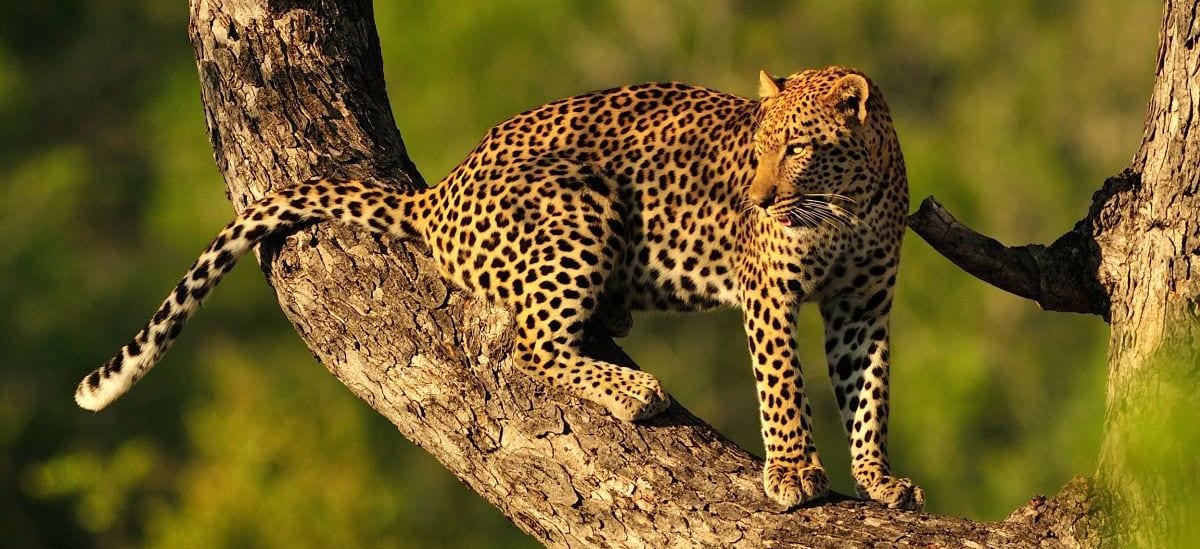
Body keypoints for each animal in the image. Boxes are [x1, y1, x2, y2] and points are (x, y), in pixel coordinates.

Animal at [75, 65, 923, 511]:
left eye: (800, 147)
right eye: (758, 147)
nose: (758, 197)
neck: (848, 201)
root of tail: (440, 193)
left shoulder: (865, 305)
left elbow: (870, 393)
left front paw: (880, 480)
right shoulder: (770, 294)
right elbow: (784, 387)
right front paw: (794, 473)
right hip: (578, 201)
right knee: (533, 345)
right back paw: (633, 391)